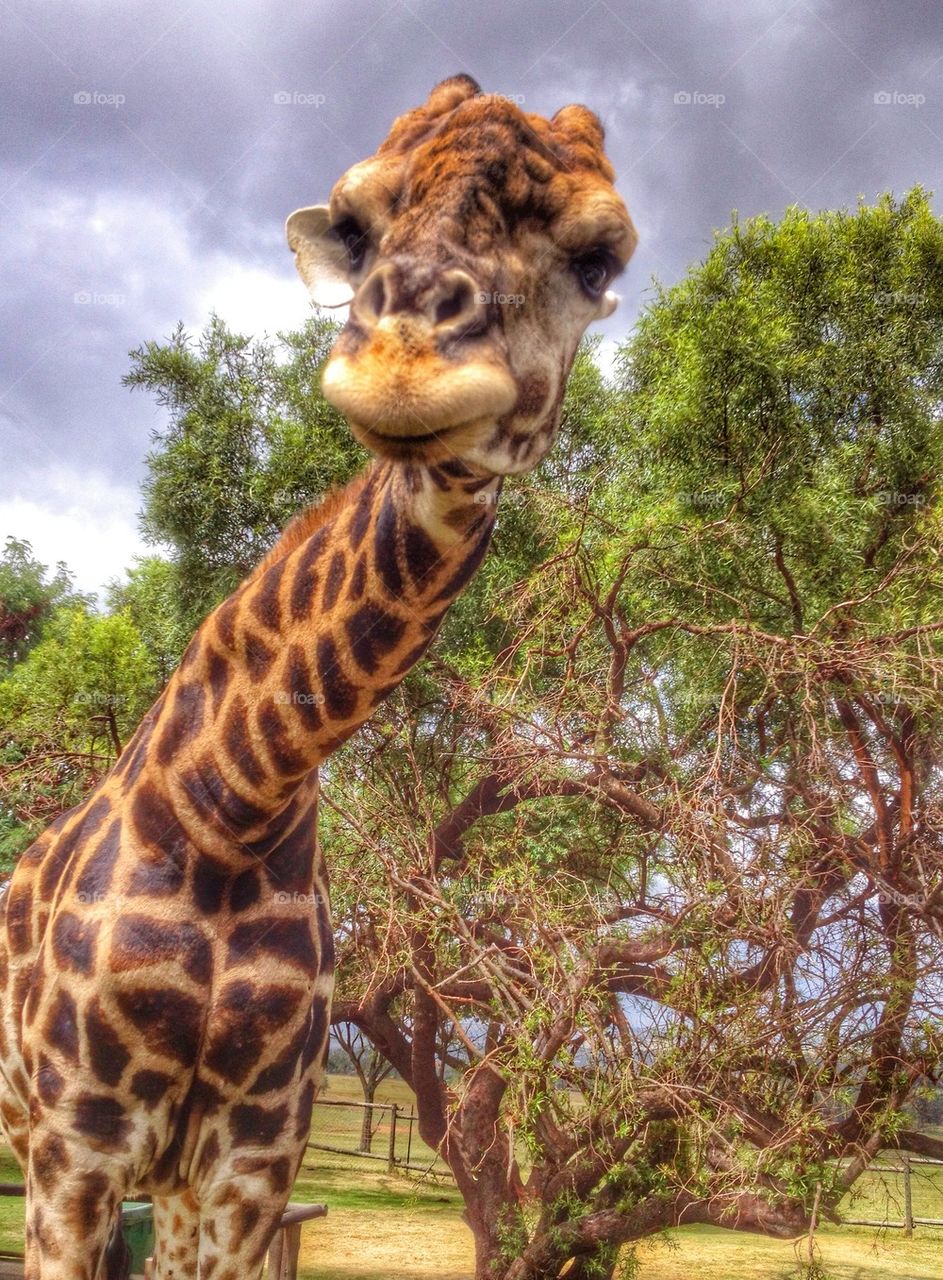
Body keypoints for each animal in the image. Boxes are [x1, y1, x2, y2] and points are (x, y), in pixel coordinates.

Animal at [0, 74, 636, 1279]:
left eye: (599, 256)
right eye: (356, 220)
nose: (404, 357)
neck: (230, 804)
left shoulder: (245, 1167)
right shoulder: (76, 1147)